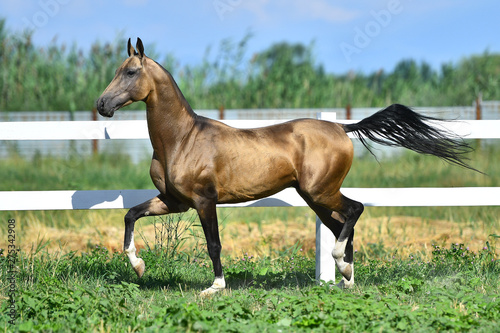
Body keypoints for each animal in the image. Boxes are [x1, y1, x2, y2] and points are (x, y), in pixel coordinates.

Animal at [96, 37, 476, 294]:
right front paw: (139, 266)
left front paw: (215, 287)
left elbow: (213, 244)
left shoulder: (204, 200)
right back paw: (347, 278)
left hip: (321, 192)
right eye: (116, 71)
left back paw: (341, 264)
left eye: (130, 72)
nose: (102, 104)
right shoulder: (174, 201)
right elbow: (130, 215)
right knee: (343, 224)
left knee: (354, 211)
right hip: (316, 197)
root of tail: (342, 127)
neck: (183, 139)